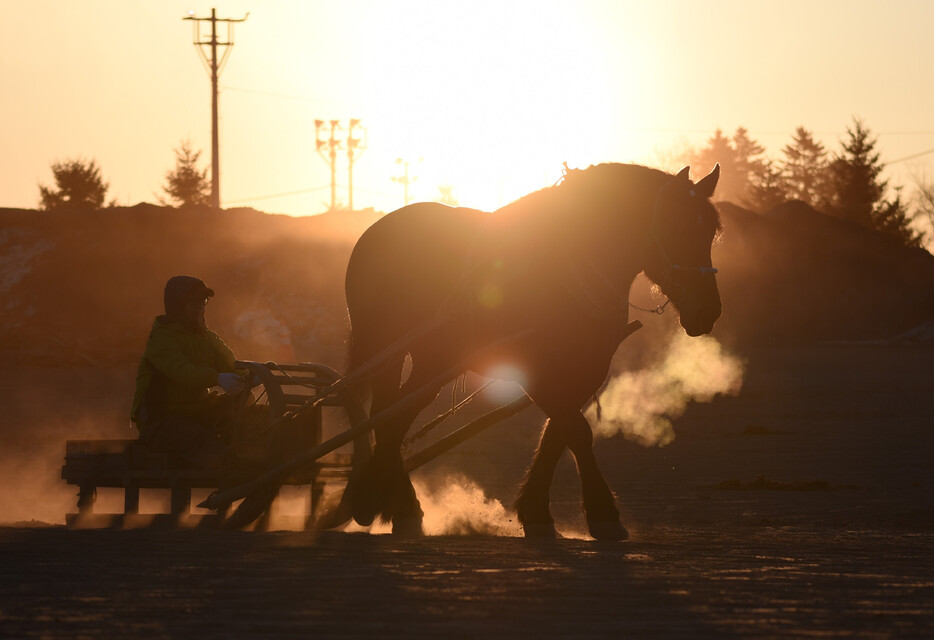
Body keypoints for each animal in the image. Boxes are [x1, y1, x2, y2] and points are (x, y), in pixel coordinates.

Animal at [340, 161, 720, 540]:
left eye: (712, 231)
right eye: (675, 226)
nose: (709, 310)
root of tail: (378, 230)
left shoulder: (588, 368)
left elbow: (559, 432)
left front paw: (537, 511)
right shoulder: (534, 371)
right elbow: (576, 430)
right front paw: (603, 513)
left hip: (430, 356)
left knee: (395, 412)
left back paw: (396, 504)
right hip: (390, 346)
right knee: (390, 414)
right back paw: (381, 502)